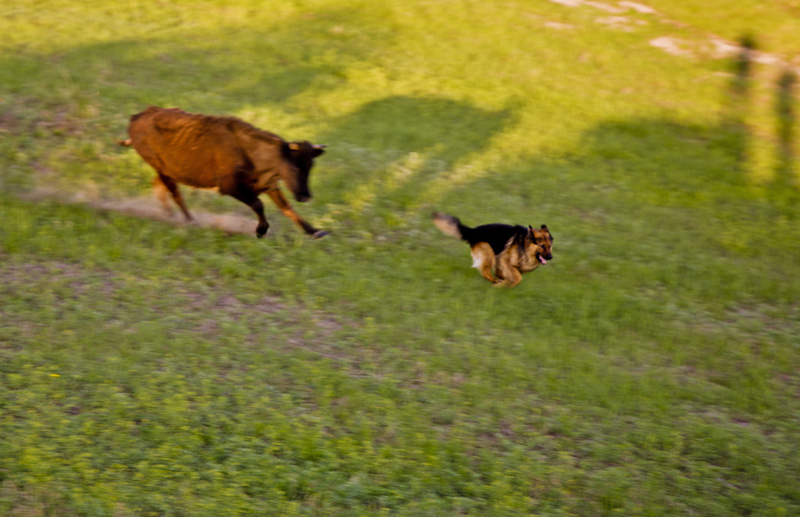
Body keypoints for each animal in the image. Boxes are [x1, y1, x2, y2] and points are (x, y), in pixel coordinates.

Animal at [122, 107, 328, 240]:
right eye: (294, 166)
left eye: (310, 165)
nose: (305, 196)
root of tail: (137, 117)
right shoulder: (229, 186)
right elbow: (258, 204)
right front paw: (260, 231)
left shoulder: (269, 184)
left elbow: (287, 208)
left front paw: (315, 231)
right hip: (162, 169)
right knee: (175, 194)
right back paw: (191, 221)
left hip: (168, 172)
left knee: (159, 185)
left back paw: (170, 215)